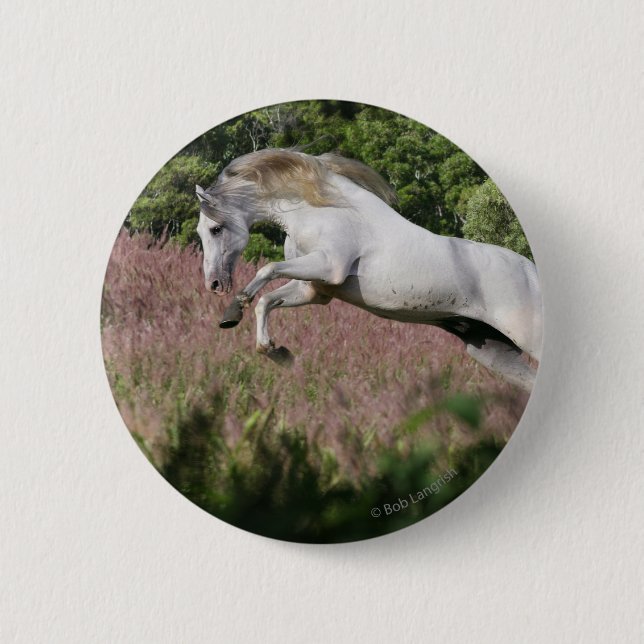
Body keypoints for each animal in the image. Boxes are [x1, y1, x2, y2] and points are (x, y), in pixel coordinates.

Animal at [195, 148, 542, 392]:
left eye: (215, 229)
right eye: (201, 231)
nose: (214, 284)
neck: (320, 209)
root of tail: (531, 272)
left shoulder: (328, 266)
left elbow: (267, 269)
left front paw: (234, 311)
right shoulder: (314, 289)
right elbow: (267, 301)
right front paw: (275, 351)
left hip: (527, 338)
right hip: (493, 352)